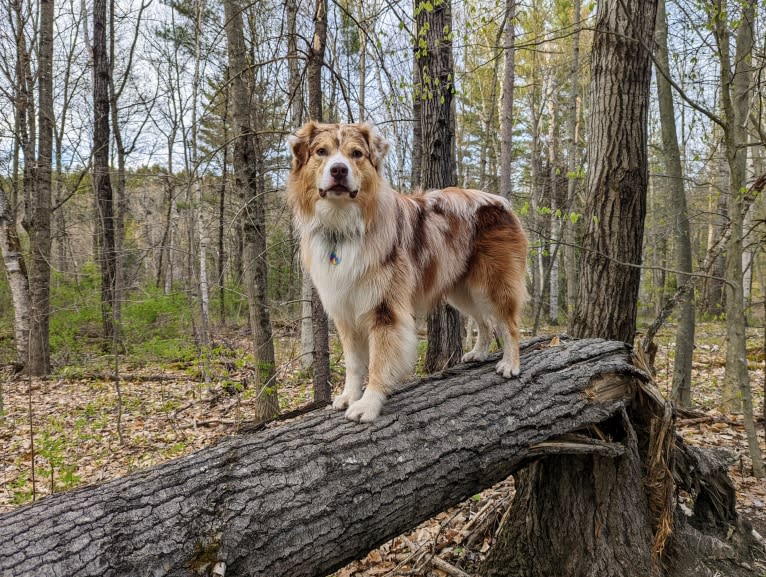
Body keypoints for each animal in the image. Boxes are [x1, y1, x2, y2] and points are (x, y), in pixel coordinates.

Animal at [288, 121, 528, 420]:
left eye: (356, 154)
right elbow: (354, 363)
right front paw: (349, 396)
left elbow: (378, 361)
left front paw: (368, 404)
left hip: (493, 283)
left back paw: (511, 364)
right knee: (485, 321)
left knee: (509, 324)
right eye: (321, 152)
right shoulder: (344, 308)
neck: (342, 227)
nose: (339, 170)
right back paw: (478, 353)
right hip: (461, 291)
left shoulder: (384, 309)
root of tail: (498, 200)